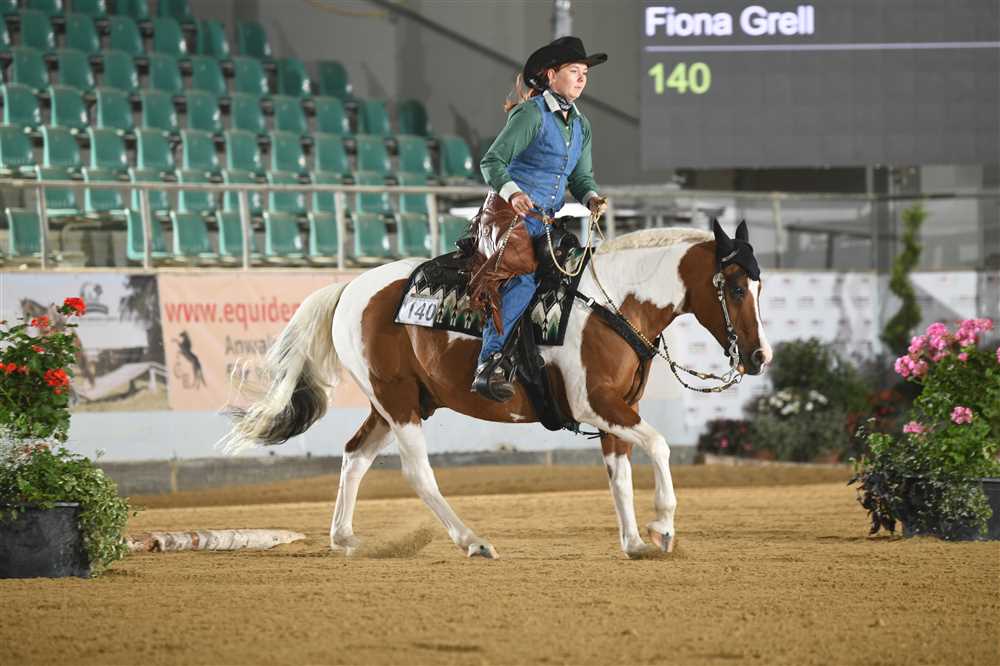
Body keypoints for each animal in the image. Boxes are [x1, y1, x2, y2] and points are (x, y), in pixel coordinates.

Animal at [219, 220, 772, 559]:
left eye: (760, 287)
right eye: (735, 287)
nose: (760, 357)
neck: (612, 305)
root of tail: (350, 288)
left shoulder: (620, 410)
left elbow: (619, 475)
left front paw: (634, 541)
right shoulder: (598, 405)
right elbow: (659, 446)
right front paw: (663, 528)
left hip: (398, 400)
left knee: (355, 456)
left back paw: (345, 538)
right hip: (398, 403)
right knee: (418, 473)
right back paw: (472, 541)